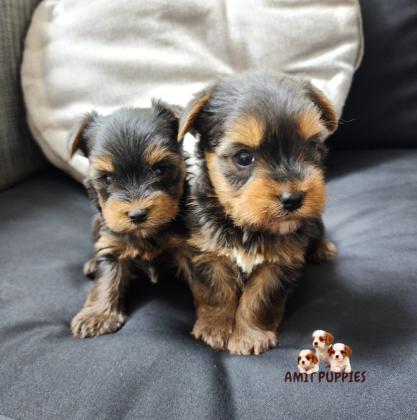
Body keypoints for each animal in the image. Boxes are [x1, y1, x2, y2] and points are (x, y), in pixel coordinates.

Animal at [68, 101, 187, 338]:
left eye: (160, 169)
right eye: (107, 178)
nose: (137, 214)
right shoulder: (111, 245)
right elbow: (107, 279)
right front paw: (97, 315)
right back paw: (92, 264)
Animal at [178, 72, 338, 355]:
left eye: (311, 147)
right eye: (243, 157)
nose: (293, 198)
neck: (246, 226)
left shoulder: (279, 262)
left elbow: (259, 300)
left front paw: (249, 336)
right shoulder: (209, 252)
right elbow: (216, 292)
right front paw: (214, 327)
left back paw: (322, 248)